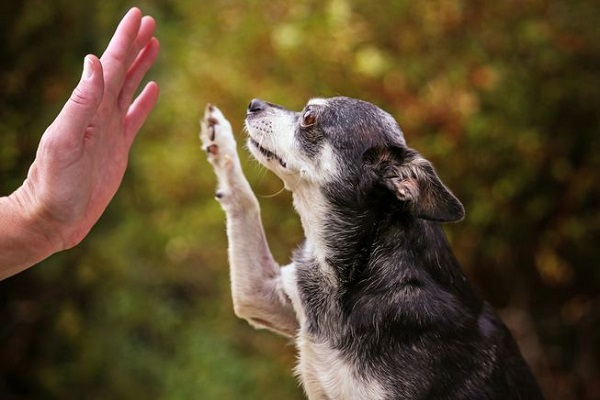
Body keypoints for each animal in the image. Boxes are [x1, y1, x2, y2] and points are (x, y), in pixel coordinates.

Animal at [198, 97, 544, 400]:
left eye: (309, 117)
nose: (254, 104)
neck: (359, 268)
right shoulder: (259, 296)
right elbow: (245, 202)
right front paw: (220, 139)